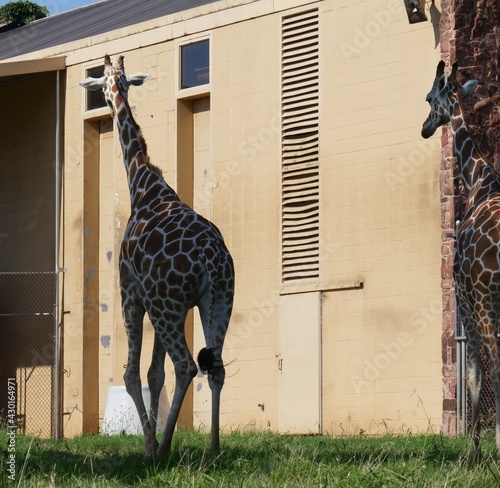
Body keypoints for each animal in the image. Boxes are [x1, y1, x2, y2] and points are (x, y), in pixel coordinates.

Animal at [80, 54, 234, 458]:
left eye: (104, 84)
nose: (107, 100)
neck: (143, 185)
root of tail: (211, 259)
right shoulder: (157, 301)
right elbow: (154, 373)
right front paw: (151, 440)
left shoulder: (131, 291)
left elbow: (134, 373)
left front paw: (148, 444)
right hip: (216, 301)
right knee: (216, 366)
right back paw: (214, 448)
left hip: (169, 307)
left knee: (187, 366)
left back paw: (164, 448)